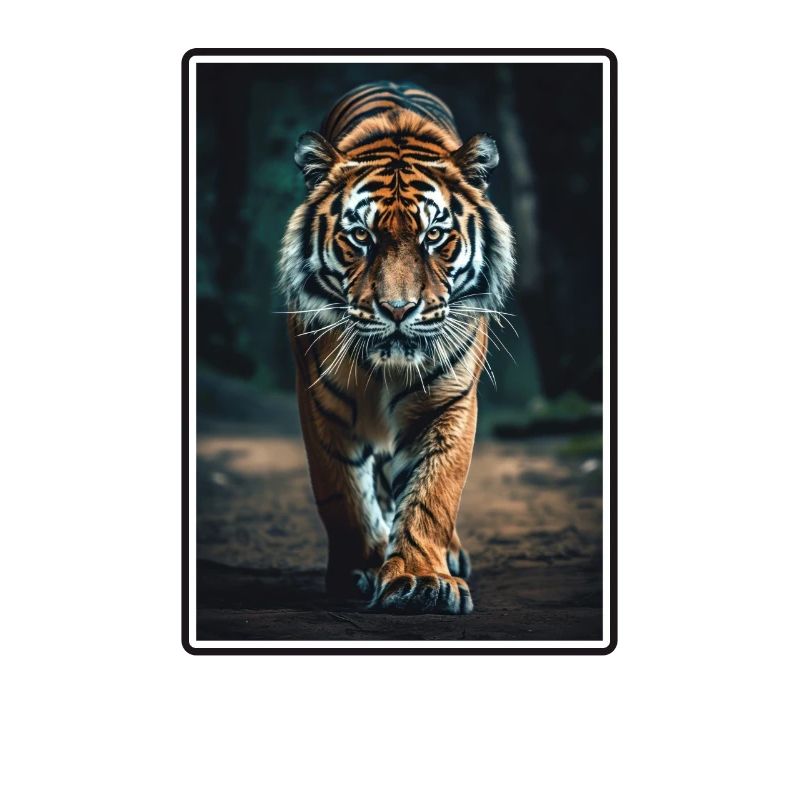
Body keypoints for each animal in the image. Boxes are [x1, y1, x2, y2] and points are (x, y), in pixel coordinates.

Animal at [278, 81, 515, 614]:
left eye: (434, 236)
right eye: (360, 236)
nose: (398, 309)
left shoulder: (449, 403)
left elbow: (432, 494)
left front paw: (420, 579)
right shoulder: (321, 403)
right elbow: (343, 493)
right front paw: (361, 570)